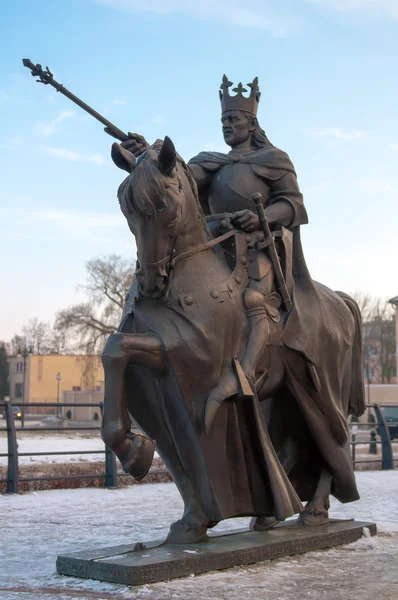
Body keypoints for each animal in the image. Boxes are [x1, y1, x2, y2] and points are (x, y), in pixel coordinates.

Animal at [101, 137, 366, 544]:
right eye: (126, 209)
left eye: (165, 208)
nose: (150, 283)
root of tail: (339, 299)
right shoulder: (156, 371)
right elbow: (115, 349)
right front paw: (186, 519)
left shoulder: (188, 353)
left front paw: (134, 450)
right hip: (284, 392)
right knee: (298, 441)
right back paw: (270, 516)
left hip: (321, 388)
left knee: (331, 442)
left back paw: (314, 511)